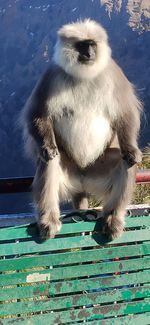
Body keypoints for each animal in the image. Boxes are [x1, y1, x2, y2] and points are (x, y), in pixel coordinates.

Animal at [21, 19, 142, 239]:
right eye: (81, 45)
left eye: (92, 44)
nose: (89, 53)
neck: (83, 76)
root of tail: (83, 180)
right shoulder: (52, 75)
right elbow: (38, 115)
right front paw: (47, 146)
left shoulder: (112, 72)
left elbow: (125, 114)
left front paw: (131, 149)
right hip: (70, 171)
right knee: (51, 159)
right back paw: (48, 219)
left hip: (98, 172)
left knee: (125, 161)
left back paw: (113, 217)